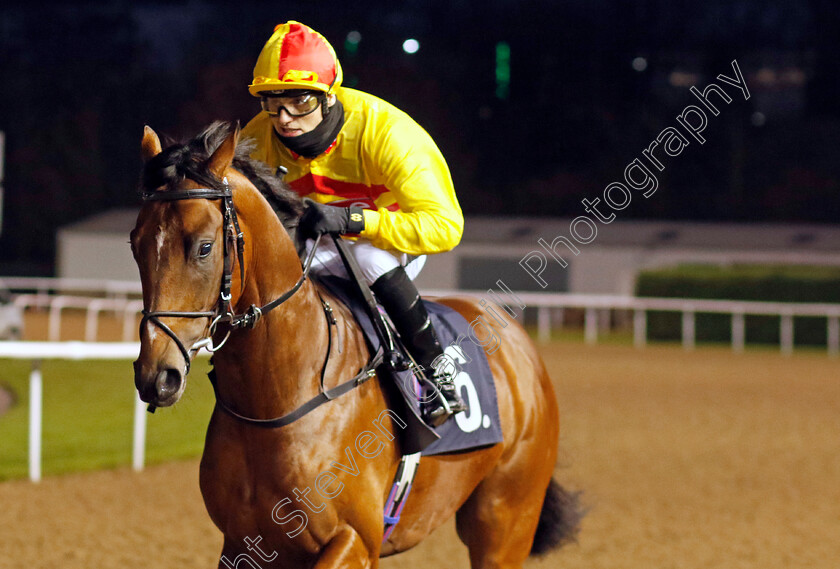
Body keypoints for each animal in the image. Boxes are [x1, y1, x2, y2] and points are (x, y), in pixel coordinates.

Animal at [131, 123, 580, 568]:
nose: (157, 376)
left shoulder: (356, 540)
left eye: (204, 247)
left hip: (505, 522)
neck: (281, 401)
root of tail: (520, 344)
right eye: (135, 243)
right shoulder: (245, 543)